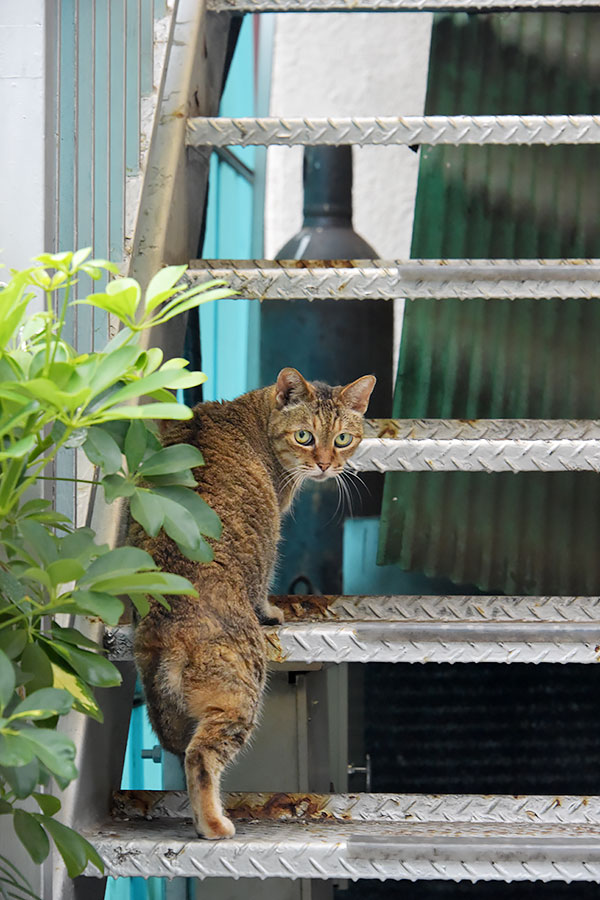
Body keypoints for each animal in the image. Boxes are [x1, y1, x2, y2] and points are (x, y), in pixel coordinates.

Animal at [133, 364, 376, 836]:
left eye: (343, 438)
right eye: (304, 436)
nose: (325, 465)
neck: (252, 413)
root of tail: (171, 624)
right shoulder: (273, 533)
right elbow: (264, 585)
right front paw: (272, 610)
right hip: (240, 696)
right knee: (200, 757)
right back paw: (214, 824)